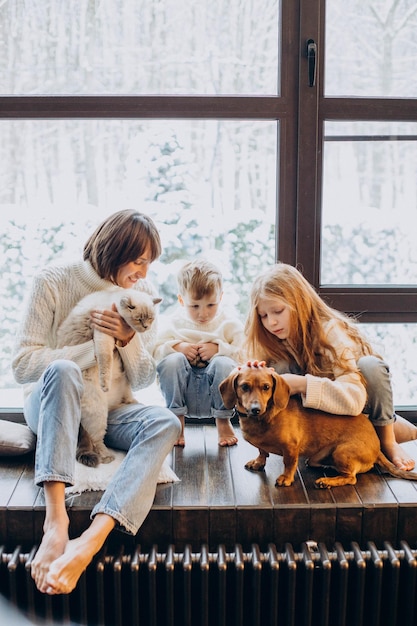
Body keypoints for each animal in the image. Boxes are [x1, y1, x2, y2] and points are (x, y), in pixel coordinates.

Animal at [57, 286, 162, 466]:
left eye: (151, 318)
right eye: (139, 319)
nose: (146, 327)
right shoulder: (103, 335)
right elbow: (105, 359)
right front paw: (104, 382)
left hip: (123, 382)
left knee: (126, 393)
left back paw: (132, 401)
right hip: (98, 413)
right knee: (96, 440)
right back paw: (106, 457)